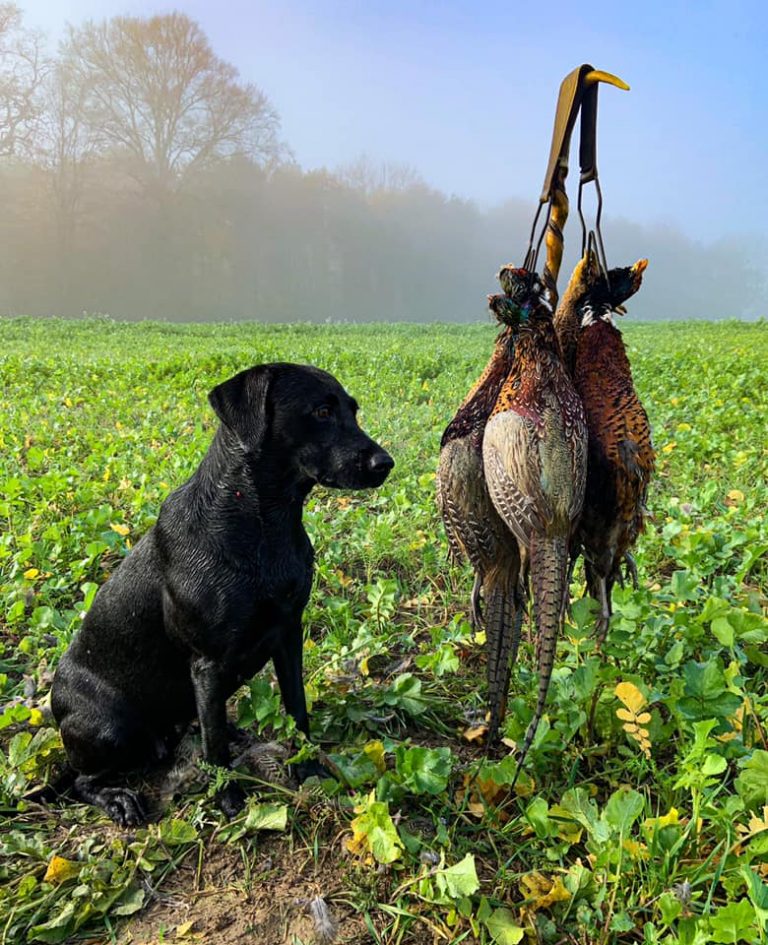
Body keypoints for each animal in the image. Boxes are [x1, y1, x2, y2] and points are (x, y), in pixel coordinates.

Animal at [51, 366, 392, 824]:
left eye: (353, 410)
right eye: (322, 411)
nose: (385, 463)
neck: (262, 524)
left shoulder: (288, 635)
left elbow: (298, 710)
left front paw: (307, 767)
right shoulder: (207, 664)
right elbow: (214, 748)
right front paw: (228, 798)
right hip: (112, 729)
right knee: (82, 782)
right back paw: (118, 798)